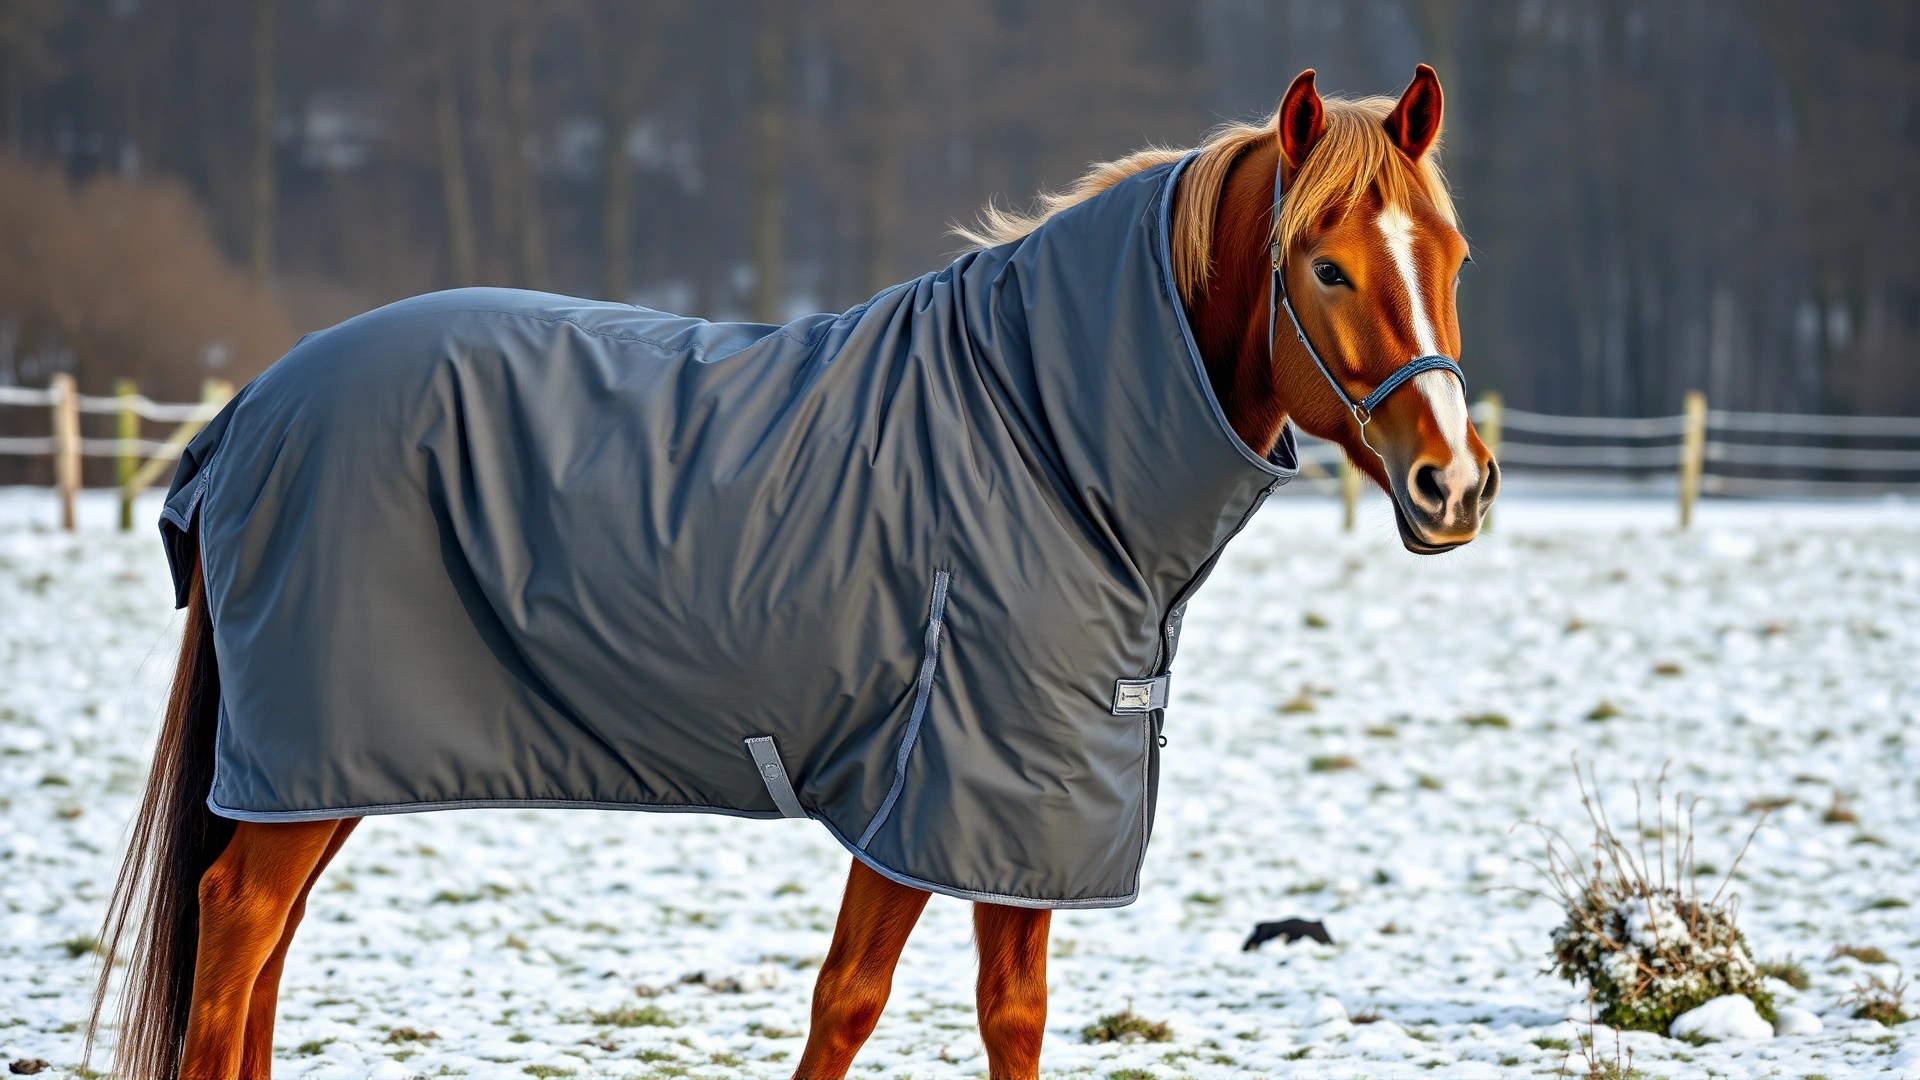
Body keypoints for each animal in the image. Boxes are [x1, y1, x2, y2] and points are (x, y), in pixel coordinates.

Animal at [87, 64, 1494, 1079]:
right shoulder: (929, 794)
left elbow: (1012, 1013)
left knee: (258, 950)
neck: (1045, 439)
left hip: (319, 770)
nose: (1453, 484)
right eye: (1325, 264)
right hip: (308, 761)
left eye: (1454, 258)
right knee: (235, 935)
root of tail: (248, 412)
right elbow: (849, 1004)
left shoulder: (1023, 829)